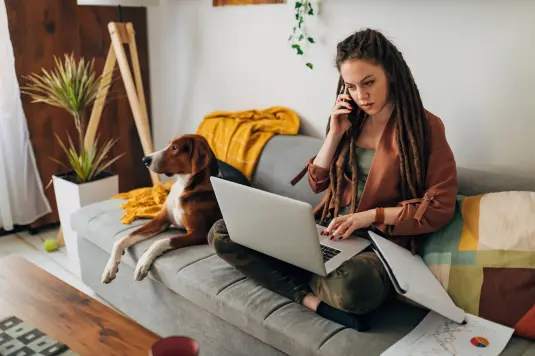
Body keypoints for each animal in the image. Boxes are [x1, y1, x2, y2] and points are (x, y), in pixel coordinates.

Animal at [102, 134, 226, 284]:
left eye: (174, 147)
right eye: (169, 144)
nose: (144, 159)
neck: (184, 185)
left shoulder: (198, 233)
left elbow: (160, 241)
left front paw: (143, 262)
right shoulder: (161, 220)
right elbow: (124, 238)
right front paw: (110, 267)